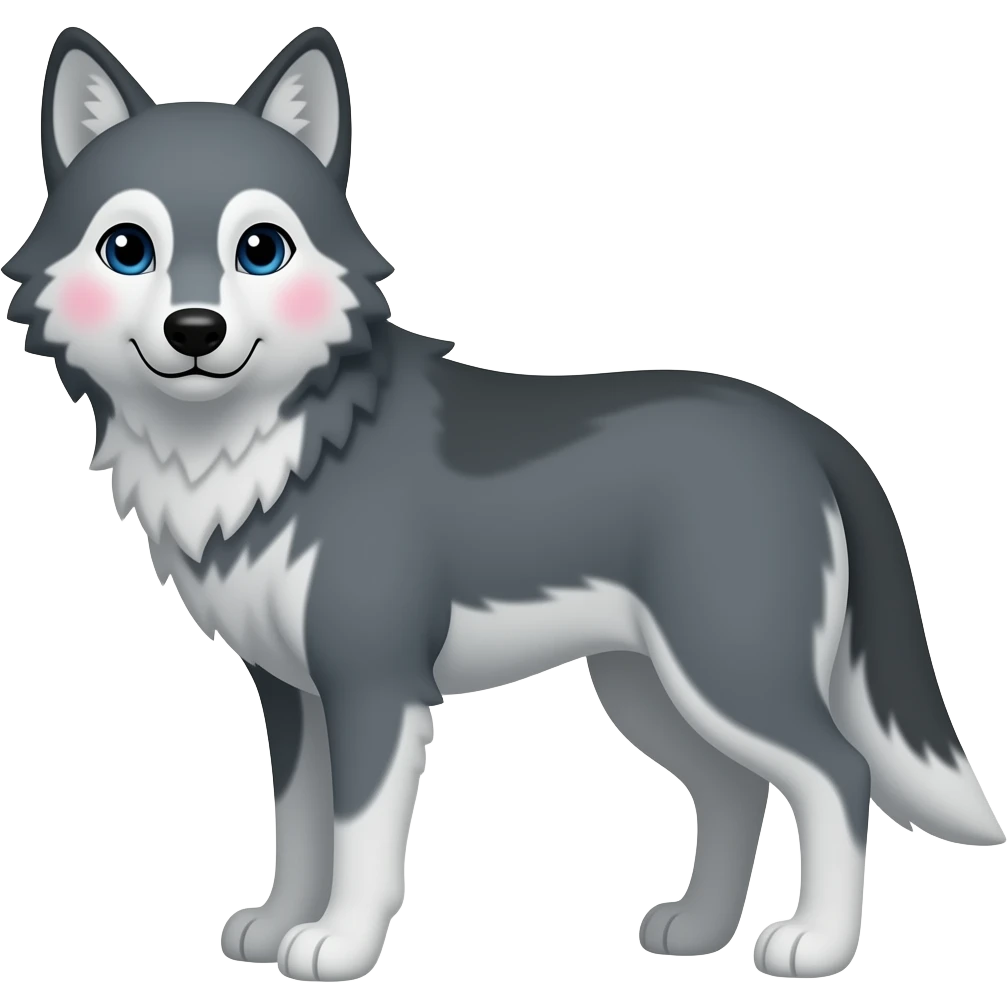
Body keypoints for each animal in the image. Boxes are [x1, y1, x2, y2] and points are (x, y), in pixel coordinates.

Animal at [4, 24, 1002, 983]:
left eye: (261, 250)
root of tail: (804, 426)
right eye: (128, 250)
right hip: (647, 687)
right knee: (734, 790)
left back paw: (816, 947)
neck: (276, 446)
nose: (195, 331)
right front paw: (279, 924)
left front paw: (339, 947)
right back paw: (698, 931)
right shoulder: (290, 692)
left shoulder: (376, 684)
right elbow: (300, 828)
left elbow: (359, 839)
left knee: (838, 773)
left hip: (726, 670)